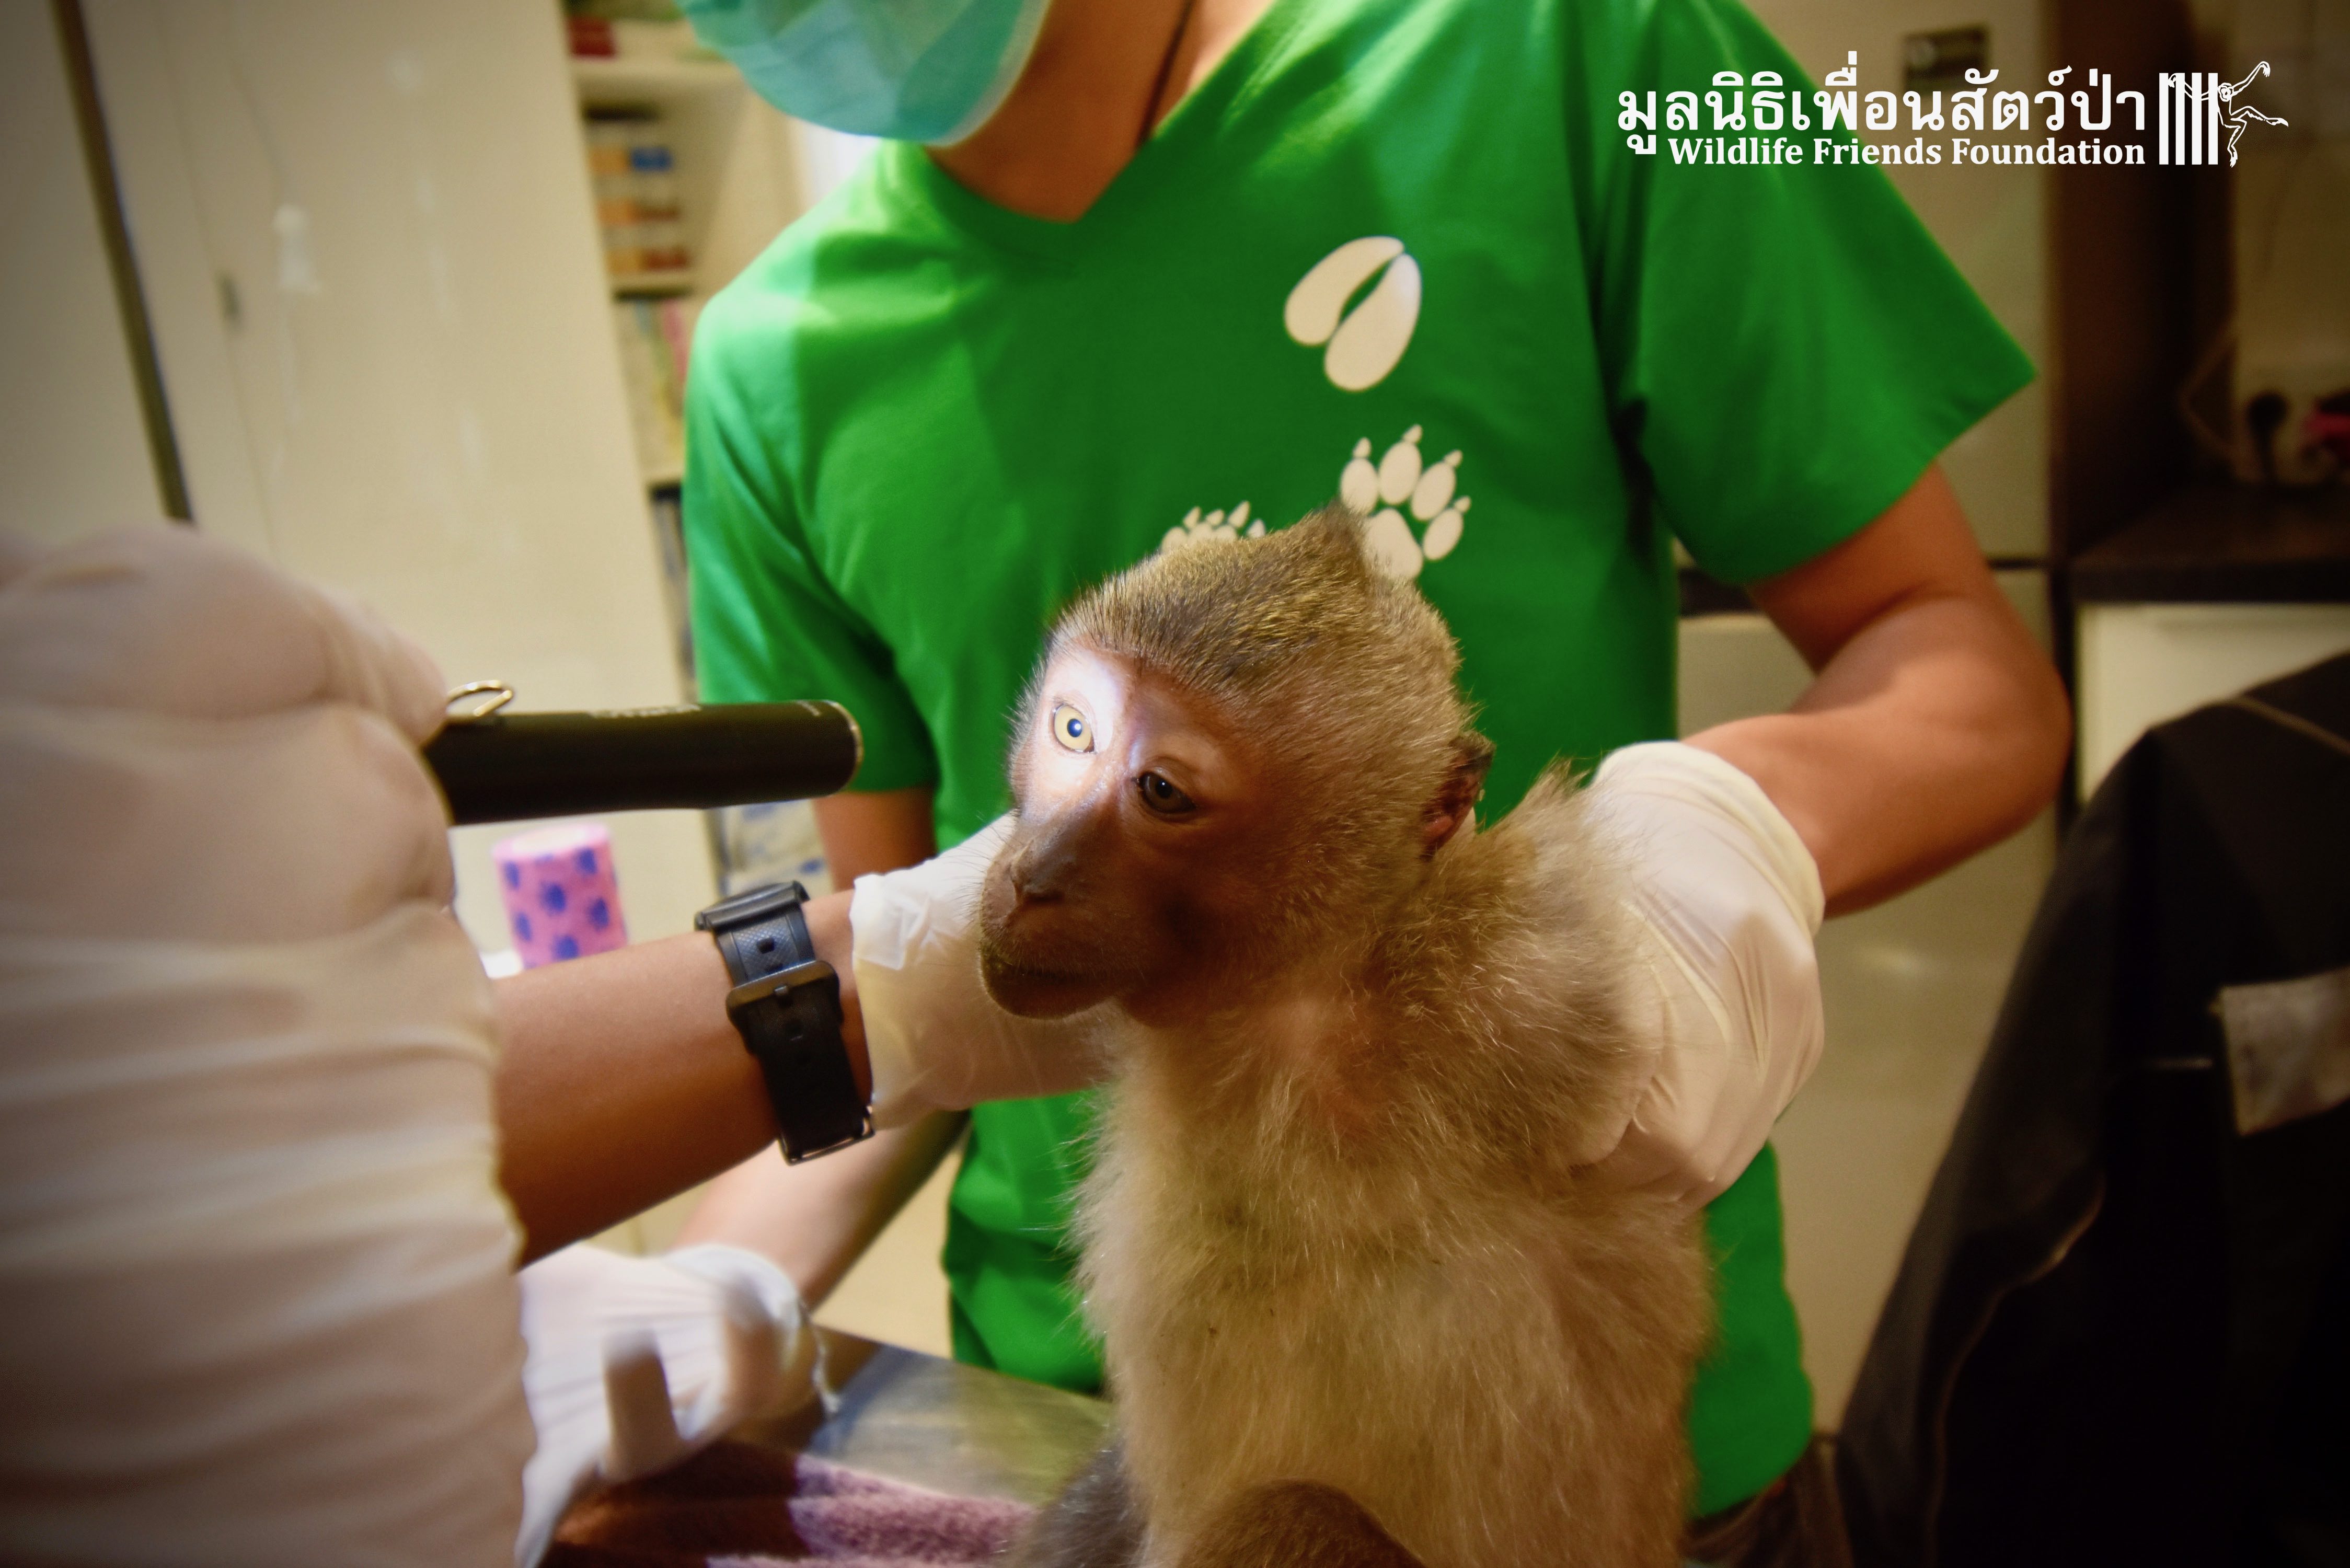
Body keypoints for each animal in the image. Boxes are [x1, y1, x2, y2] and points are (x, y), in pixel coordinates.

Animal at [976, 509, 1713, 1568]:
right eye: (1074, 730)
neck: (1296, 1004)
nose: (1034, 877)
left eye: (1162, 791)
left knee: (1294, 1515)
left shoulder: (1530, 981)